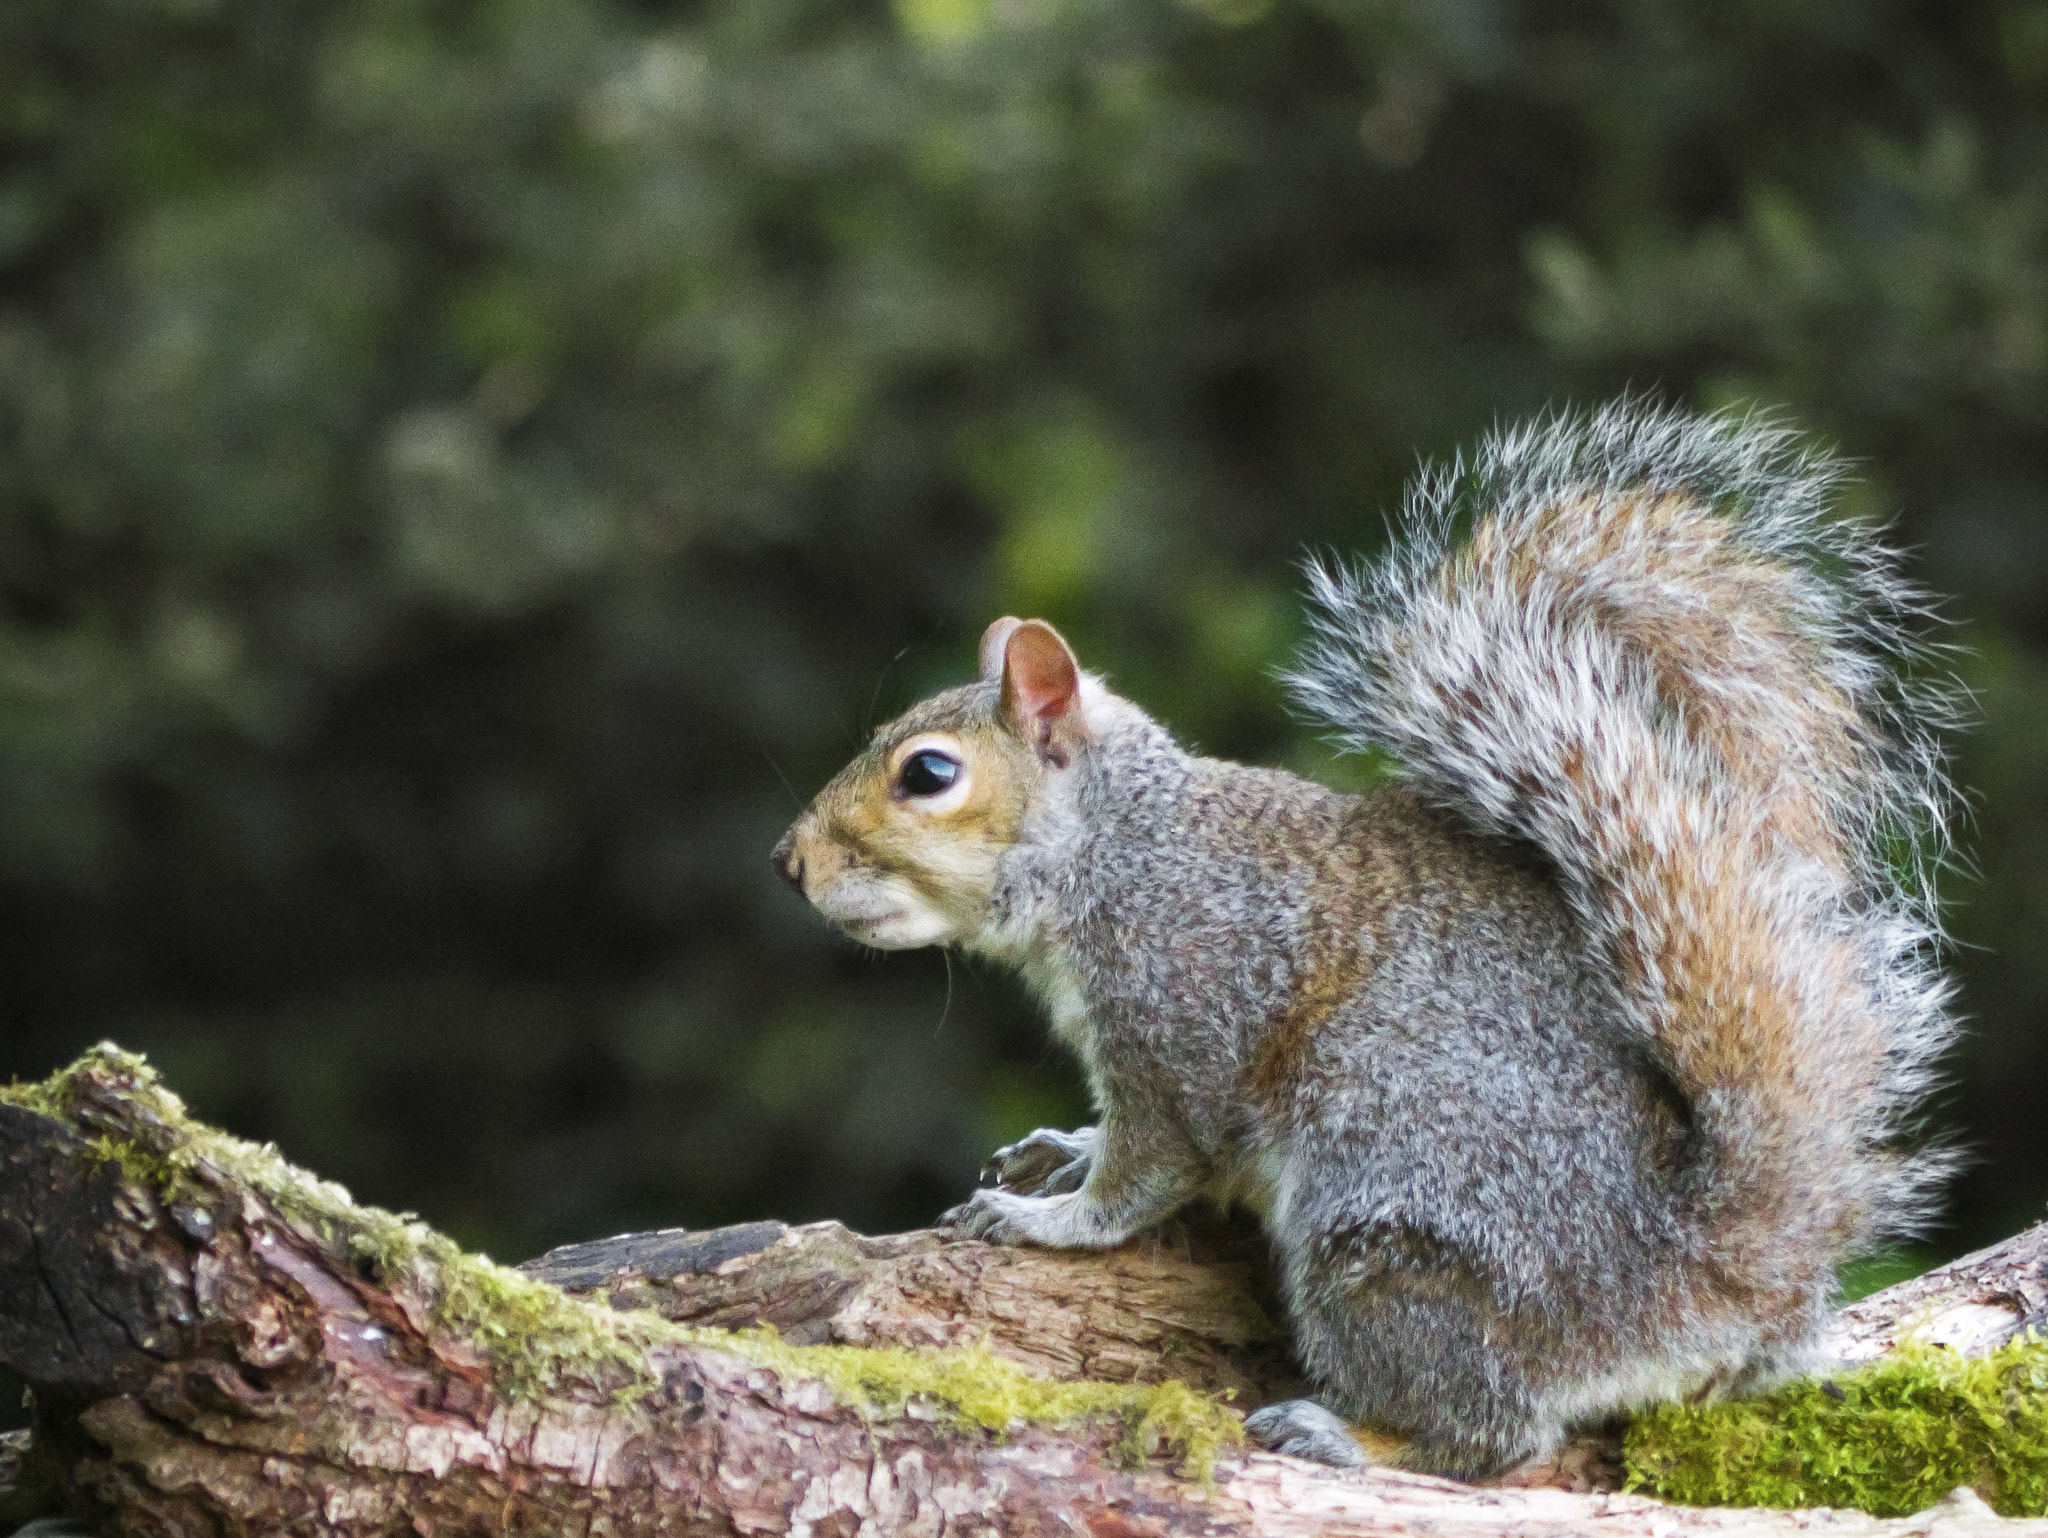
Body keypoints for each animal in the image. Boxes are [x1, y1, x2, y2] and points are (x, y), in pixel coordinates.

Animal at [765, 403, 1949, 1474]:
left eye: (928, 773)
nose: (788, 860)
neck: (1122, 847)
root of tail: (1680, 1283)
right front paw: (1059, 1146)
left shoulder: (1184, 1016)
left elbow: (1147, 1172)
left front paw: (1048, 1218)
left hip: (1386, 1227)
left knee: (1495, 1436)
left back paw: (1346, 1432)